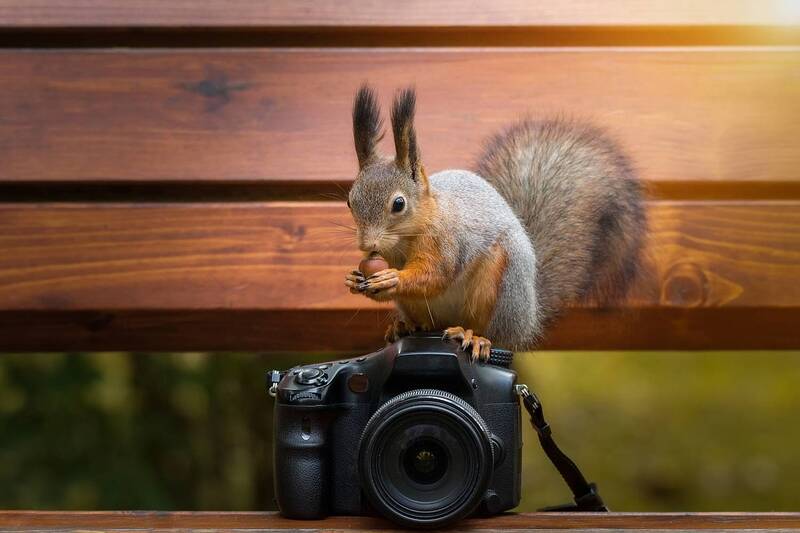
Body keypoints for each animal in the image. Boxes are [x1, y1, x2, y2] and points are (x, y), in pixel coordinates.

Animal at [344, 85, 646, 360]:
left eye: (398, 204)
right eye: (350, 200)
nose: (366, 244)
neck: (406, 238)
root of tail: (529, 319)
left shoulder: (446, 241)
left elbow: (436, 275)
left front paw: (392, 278)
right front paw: (355, 278)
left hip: (500, 284)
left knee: (495, 333)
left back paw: (474, 336)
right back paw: (404, 326)